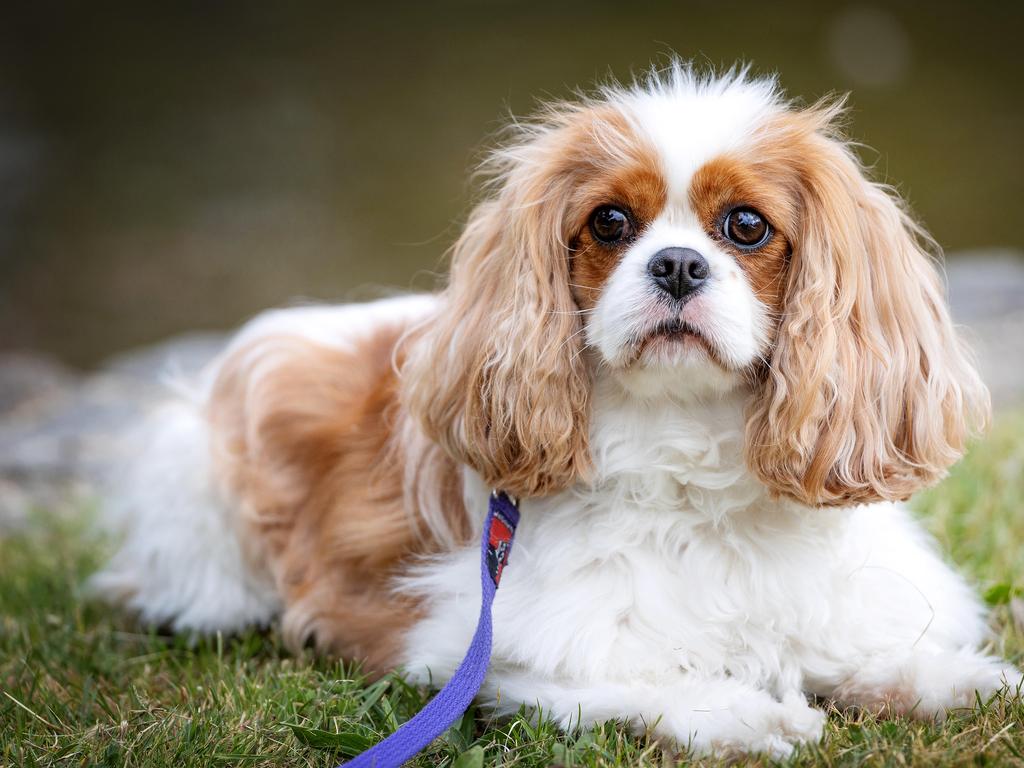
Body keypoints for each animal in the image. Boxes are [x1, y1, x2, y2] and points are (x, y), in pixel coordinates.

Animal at [92, 64, 1019, 757]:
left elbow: (852, 644)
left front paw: (948, 677)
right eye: (609, 222)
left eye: (746, 227)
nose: (677, 264)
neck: (688, 449)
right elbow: (630, 678)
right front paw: (739, 711)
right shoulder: (482, 639)